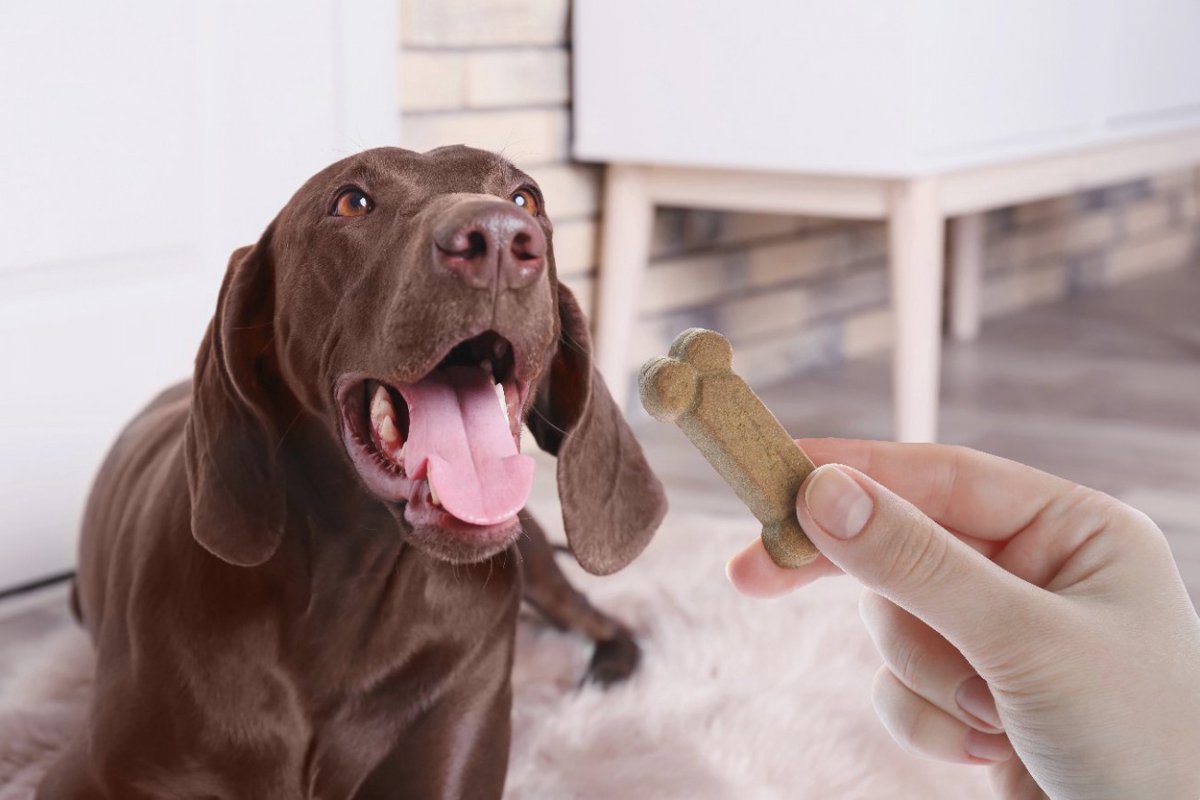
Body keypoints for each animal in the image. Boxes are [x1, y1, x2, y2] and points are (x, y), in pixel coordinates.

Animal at [37, 146, 672, 796]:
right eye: (351, 201)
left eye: (526, 197)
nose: (500, 237)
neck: (348, 585)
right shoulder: (87, 776)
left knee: (607, 620)